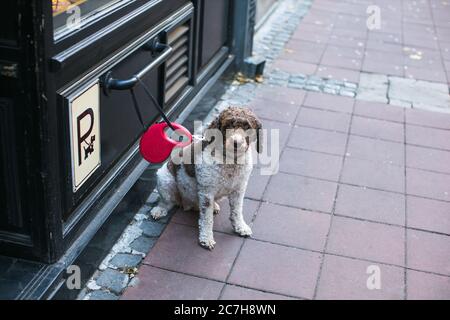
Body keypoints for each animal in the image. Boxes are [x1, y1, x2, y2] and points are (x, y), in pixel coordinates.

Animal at [151, 106, 264, 249]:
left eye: (247, 126)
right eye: (228, 124)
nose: (236, 143)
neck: (230, 161)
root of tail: (185, 203)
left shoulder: (239, 189)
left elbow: (237, 211)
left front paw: (240, 227)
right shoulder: (206, 192)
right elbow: (206, 219)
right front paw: (206, 238)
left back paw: (214, 206)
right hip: (165, 179)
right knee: (167, 201)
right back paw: (159, 210)